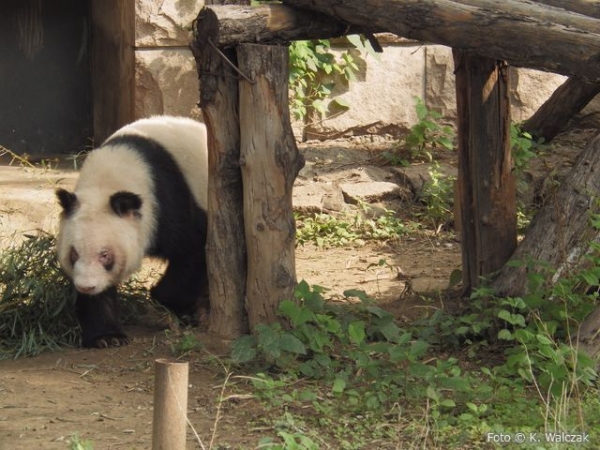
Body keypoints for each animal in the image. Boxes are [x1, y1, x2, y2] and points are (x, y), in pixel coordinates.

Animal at [56, 116, 210, 348]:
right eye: (74, 254)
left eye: (105, 255)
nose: (86, 287)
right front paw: (107, 337)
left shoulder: (169, 200)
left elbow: (193, 249)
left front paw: (170, 301)